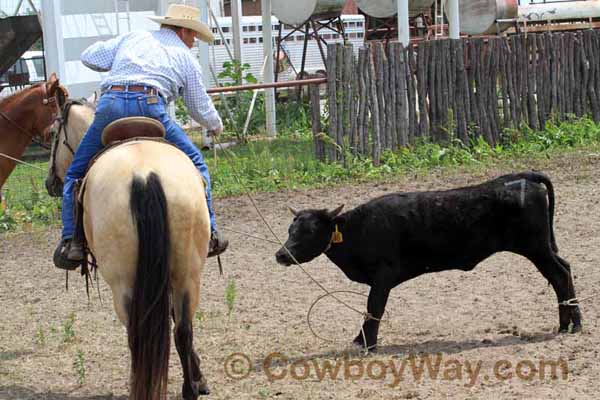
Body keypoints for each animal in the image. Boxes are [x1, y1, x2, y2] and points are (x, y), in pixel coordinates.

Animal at [45, 98, 212, 398]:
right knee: (183, 330)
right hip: (188, 273)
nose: (50, 182)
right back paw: (190, 389)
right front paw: (200, 379)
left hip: (123, 284)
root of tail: (144, 176)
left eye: (53, 133)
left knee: (137, 336)